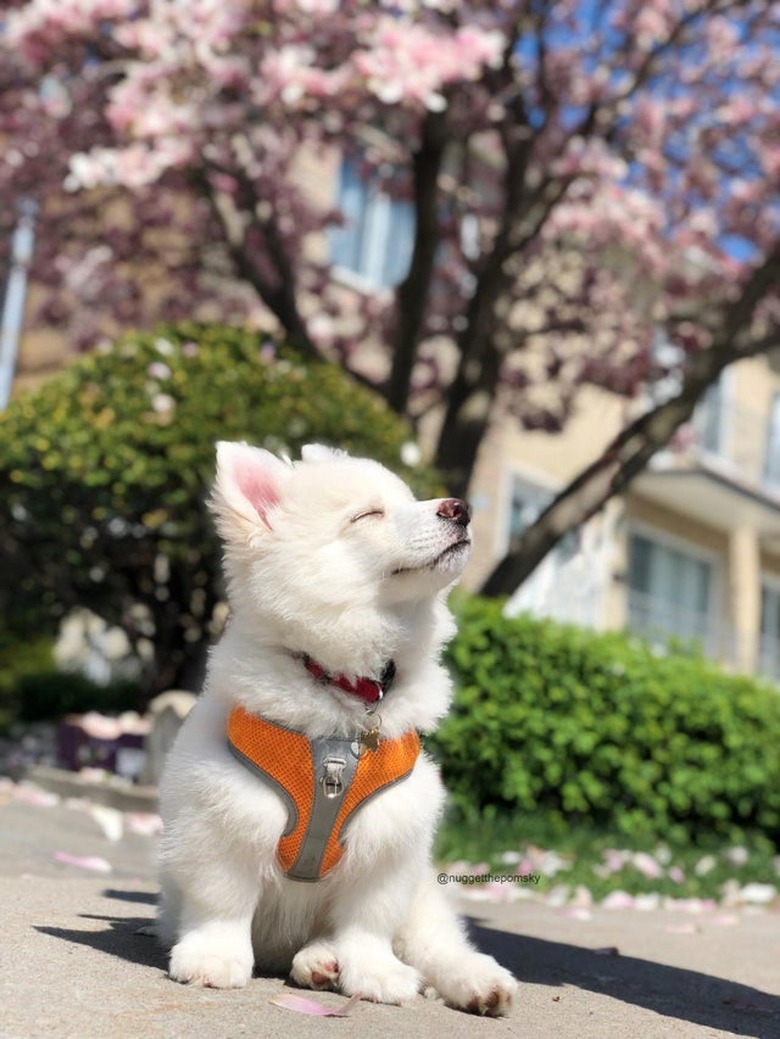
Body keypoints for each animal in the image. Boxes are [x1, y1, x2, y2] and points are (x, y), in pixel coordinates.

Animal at [157, 440, 519, 1014]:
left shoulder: (389, 834)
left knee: (433, 943)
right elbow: (223, 900)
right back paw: (318, 963)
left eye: (409, 499)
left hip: (421, 896)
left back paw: (475, 982)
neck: (342, 690)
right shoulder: (224, 816)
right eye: (368, 515)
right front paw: (213, 958)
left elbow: (368, 921)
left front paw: (373, 973)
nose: (460, 509)